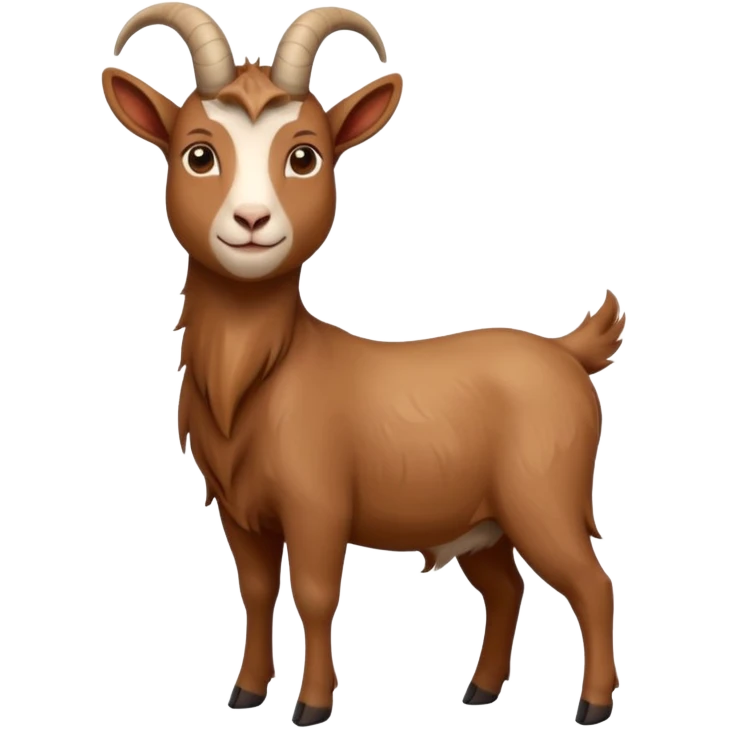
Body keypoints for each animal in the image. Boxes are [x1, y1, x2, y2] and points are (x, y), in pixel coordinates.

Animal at [102, 3, 624, 726]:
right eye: (198, 153)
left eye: (304, 155)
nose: (251, 221)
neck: (264, 375)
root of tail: (566, 350)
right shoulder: (239, 512)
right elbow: (256, 590)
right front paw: (246, 691)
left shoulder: (317, 503)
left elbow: (316, 592)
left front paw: (312, 705)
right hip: (481, 522)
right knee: (506, 589)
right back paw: (479, 690)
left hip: (541, 496)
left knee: (591, 584)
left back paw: (593, 705)